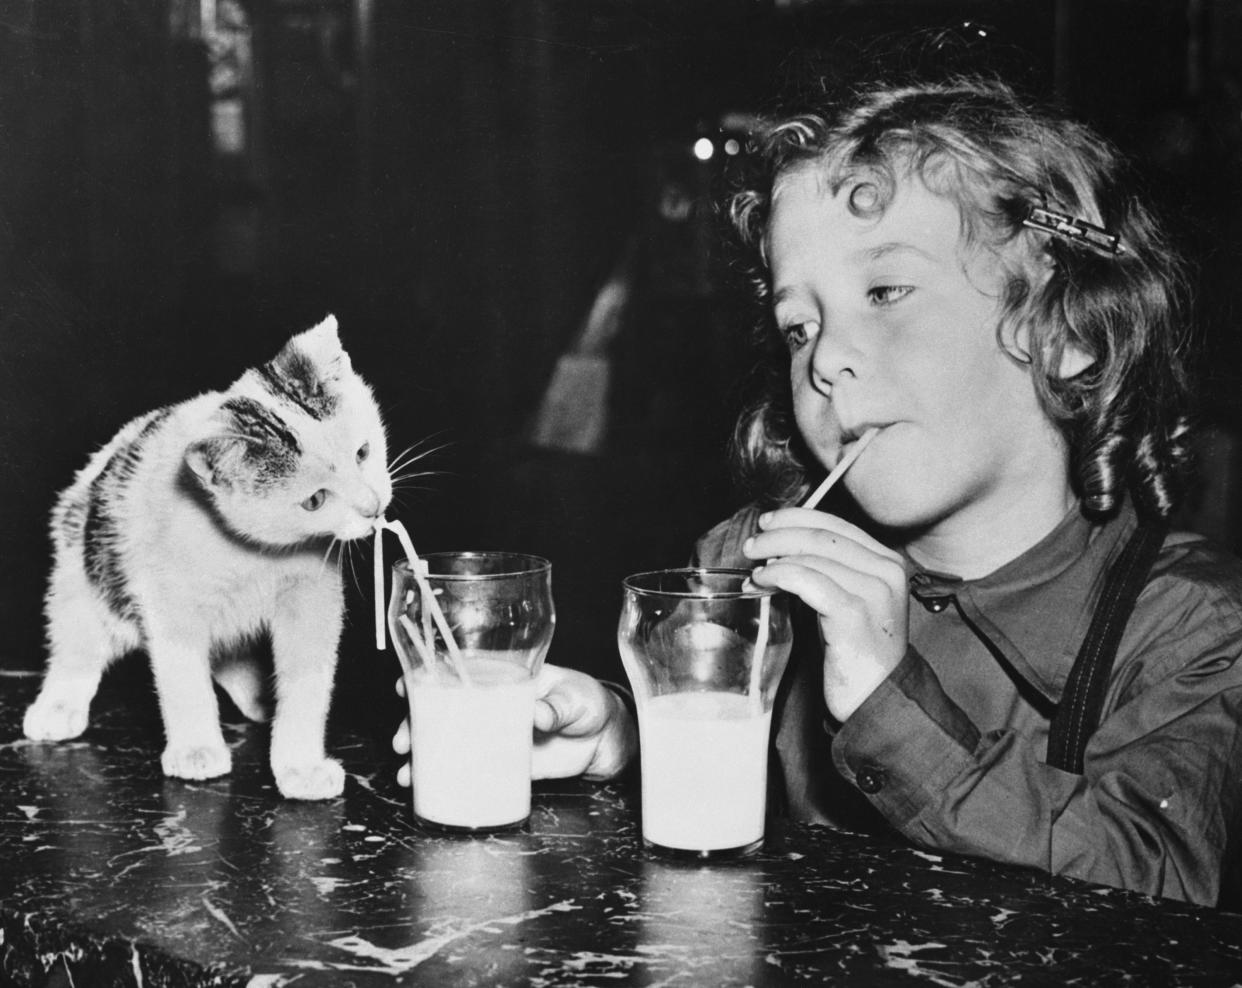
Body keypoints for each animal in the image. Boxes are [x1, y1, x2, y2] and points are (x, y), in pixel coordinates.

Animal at [25, 318, 392, 805]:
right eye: (314, 500)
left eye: (363, 453)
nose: (373, 507)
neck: (255, 554)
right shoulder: (167, 602)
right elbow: (183, 675)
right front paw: (196, 750)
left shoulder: (312, 596)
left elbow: (308, 678)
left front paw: (300, 766)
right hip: (82, 570)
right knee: (77, 642)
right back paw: (58, 706)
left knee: (226, 652)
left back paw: (260, 700)